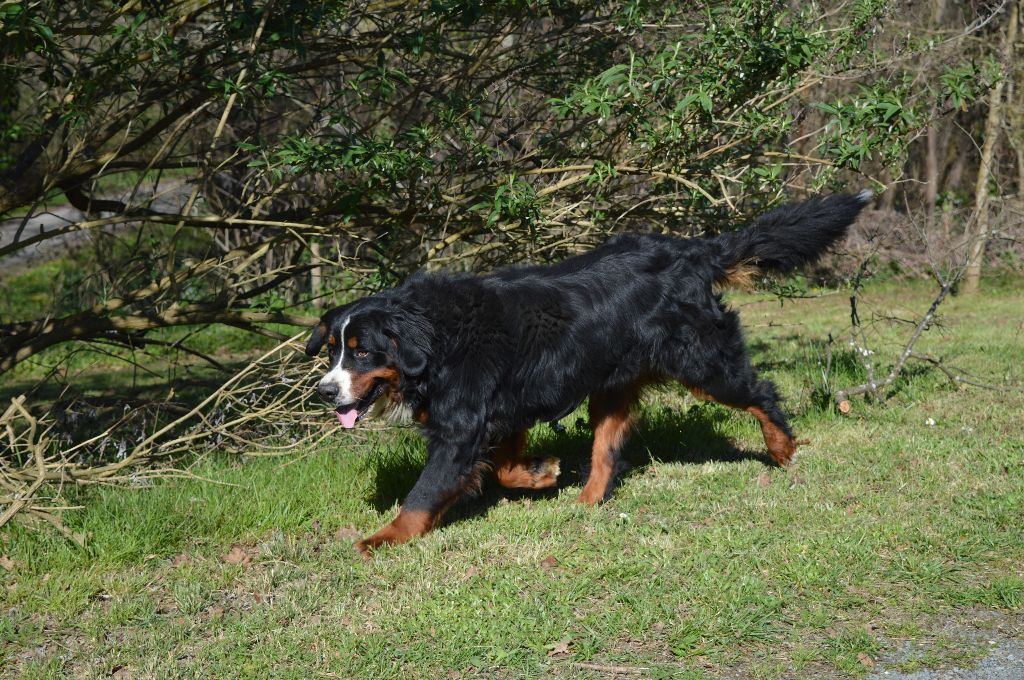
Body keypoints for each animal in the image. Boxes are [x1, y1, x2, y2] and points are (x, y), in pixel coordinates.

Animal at [305, 191, 872, 553]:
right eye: (332, 351)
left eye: (361, 352)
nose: (324, 392)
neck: (438, 338)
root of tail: (692, 251)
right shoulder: (505, 410)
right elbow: (506, 467)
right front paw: (541, 472)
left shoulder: (461, 428)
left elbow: (422, 495)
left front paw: (382, 539)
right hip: (613, 384)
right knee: (608, 451)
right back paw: (585, 501)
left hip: (704, 364)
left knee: (761, 393)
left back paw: (782, 448)